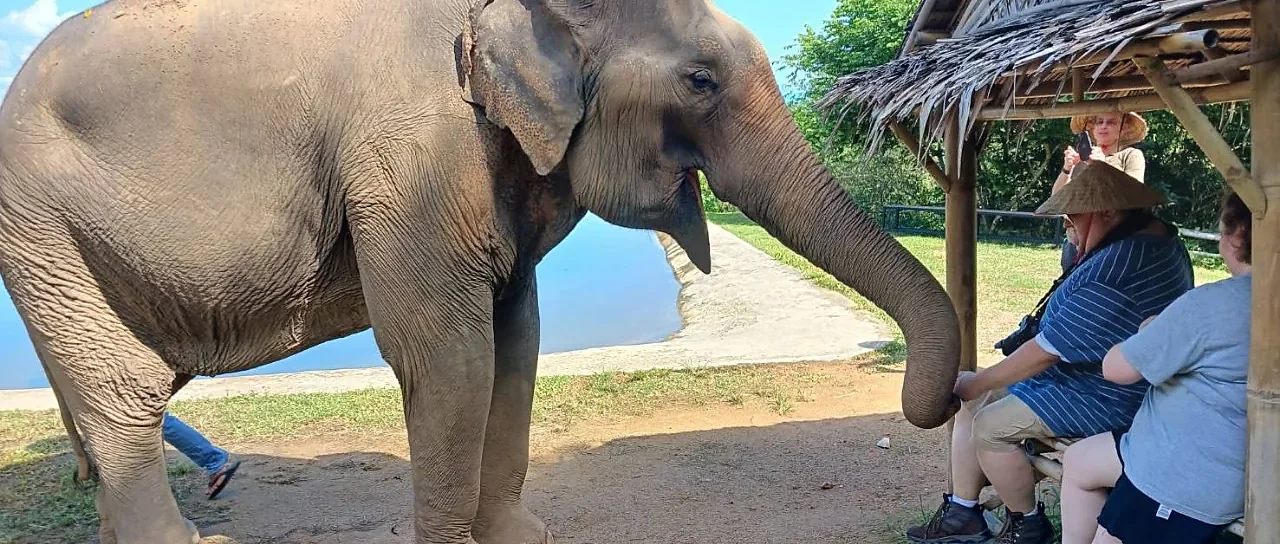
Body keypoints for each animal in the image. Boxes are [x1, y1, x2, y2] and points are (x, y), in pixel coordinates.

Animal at [0, 0, 962, 542]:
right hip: (39, 221)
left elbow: (517, 344)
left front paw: (524, 537)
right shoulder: (413, 152)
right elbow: (448, 357)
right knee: (123, 394)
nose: (947, 400)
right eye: (699, 80)